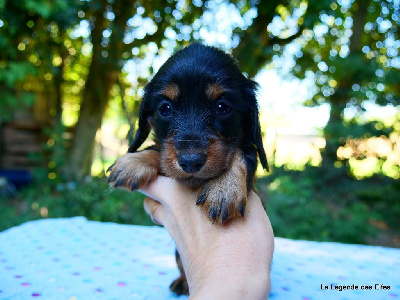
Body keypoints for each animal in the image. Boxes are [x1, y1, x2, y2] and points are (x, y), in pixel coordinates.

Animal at [108, 42, 268, 296]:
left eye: (223, 107)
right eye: (165, 108)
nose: (191, 161)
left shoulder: (250, 154)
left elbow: (241, 155)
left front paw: (224, 190)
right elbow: (158, 149)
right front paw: (132, 163)